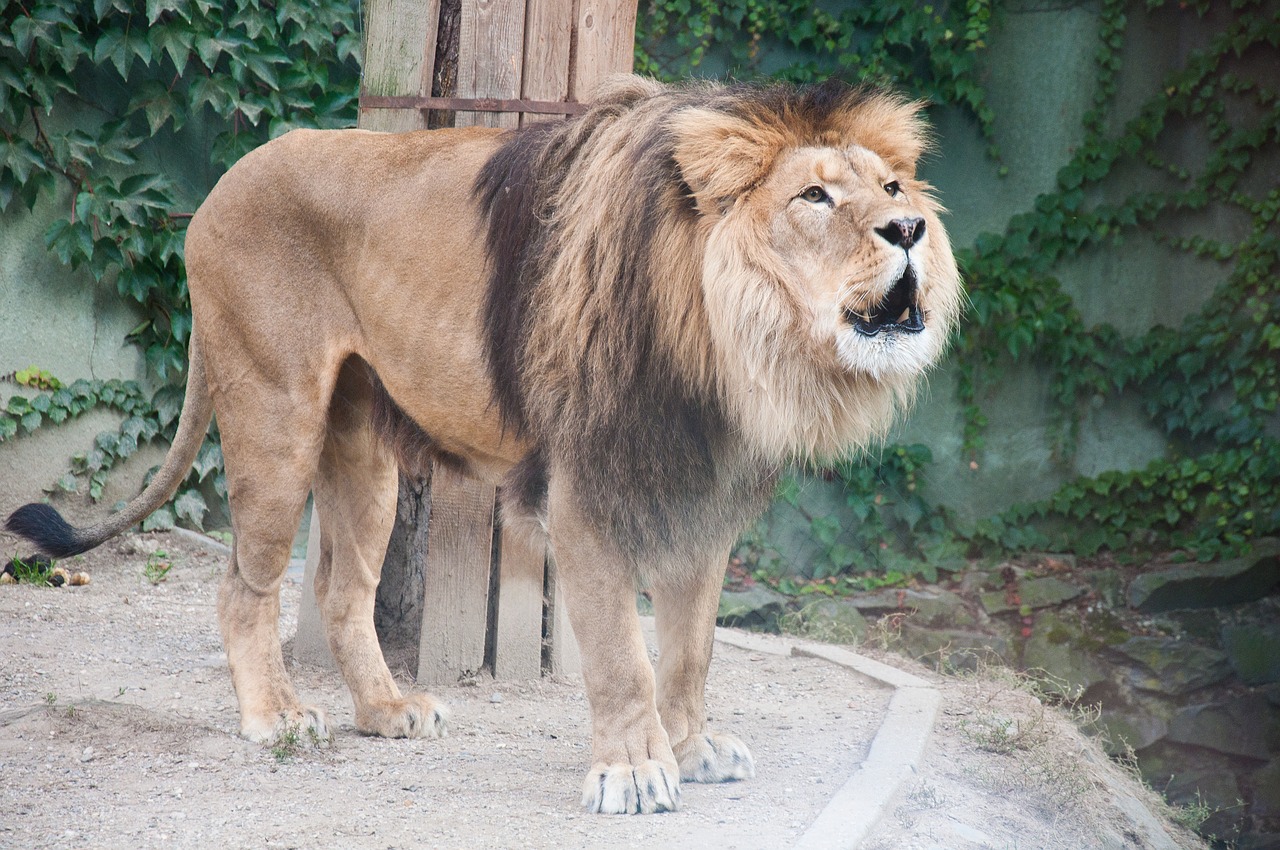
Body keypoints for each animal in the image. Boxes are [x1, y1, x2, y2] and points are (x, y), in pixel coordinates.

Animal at [2, 76, 962, 814]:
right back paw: (275, 716)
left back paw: (388, 710)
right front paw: (633, 772)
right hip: (273, 410)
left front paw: (690, 750)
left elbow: (690, 651)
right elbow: (624, 656)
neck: (724, 345)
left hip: (364, 448)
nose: (911, 230)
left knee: (340, 587)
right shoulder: (586, 493)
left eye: (895, 190)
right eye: (816, 197)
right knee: (245, 584)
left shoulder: (699, 494)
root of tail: (219, 187)